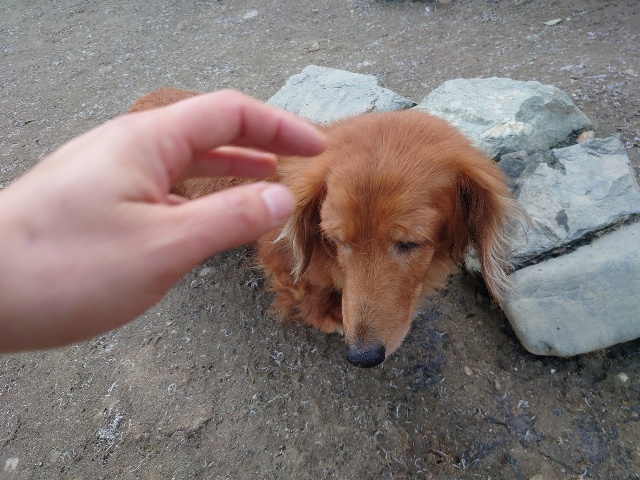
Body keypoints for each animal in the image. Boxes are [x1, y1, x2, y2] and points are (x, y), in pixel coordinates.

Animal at [130, 88, 519, 368]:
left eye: (410, 243)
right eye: (336, 240)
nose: (362, 357)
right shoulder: (281, 260)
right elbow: (308, 292)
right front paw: (327, 317)